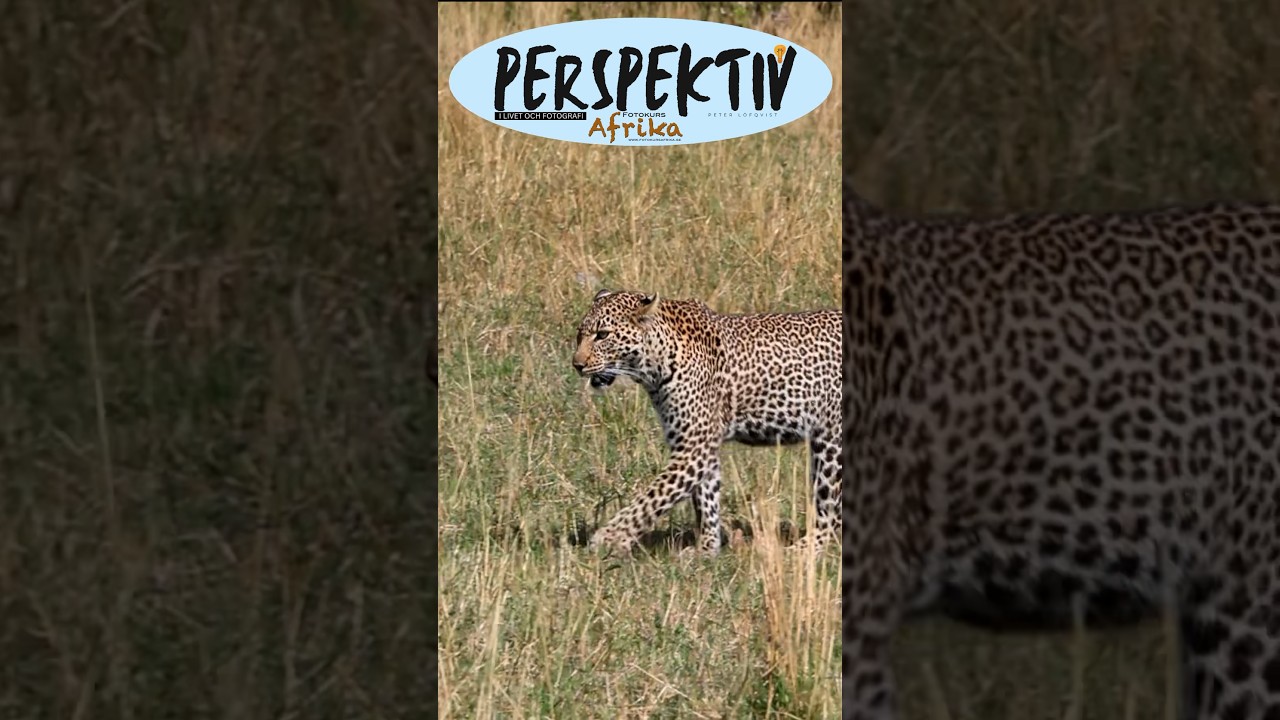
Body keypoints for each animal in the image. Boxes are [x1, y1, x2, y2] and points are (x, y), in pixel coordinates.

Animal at [571, 288, 842, 555]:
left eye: (602, 335)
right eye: (579, 334)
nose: (577, 365)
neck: (654, 367)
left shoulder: (695, 446)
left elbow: (654, 496)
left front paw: (608, 538)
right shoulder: (697, 444)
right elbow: (705, 498)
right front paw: (707, 548)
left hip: (830, 443)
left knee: (829, 509)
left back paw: (804, 548)